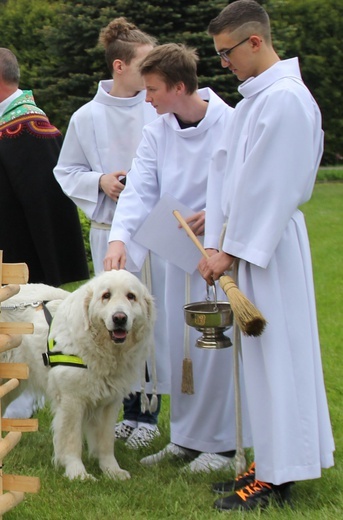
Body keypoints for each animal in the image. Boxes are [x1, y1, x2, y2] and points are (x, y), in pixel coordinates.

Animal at [0, 270, 156, 482]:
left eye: (131, 296)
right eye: (106, 295)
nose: (119, 318)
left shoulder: (110, 403)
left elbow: (106, 442)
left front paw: (112, 470)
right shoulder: (71, 401)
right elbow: (72, 441)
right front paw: (77, 473)